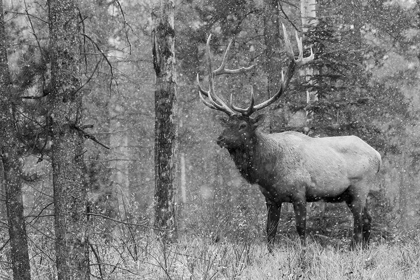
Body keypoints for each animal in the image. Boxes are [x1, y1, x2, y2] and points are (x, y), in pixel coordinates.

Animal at [196, 25, 380, 249]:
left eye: (242, 125)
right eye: (227, 124)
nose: (220, 139)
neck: (268, 170)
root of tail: (378, 155)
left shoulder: (300, 191)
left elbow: (301, 230)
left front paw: (303, 254)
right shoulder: (271, 198)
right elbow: (270, 232)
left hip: (360, 187)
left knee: (359, 223)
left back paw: (355, 249)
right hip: (349, 194)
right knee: (368, 219)